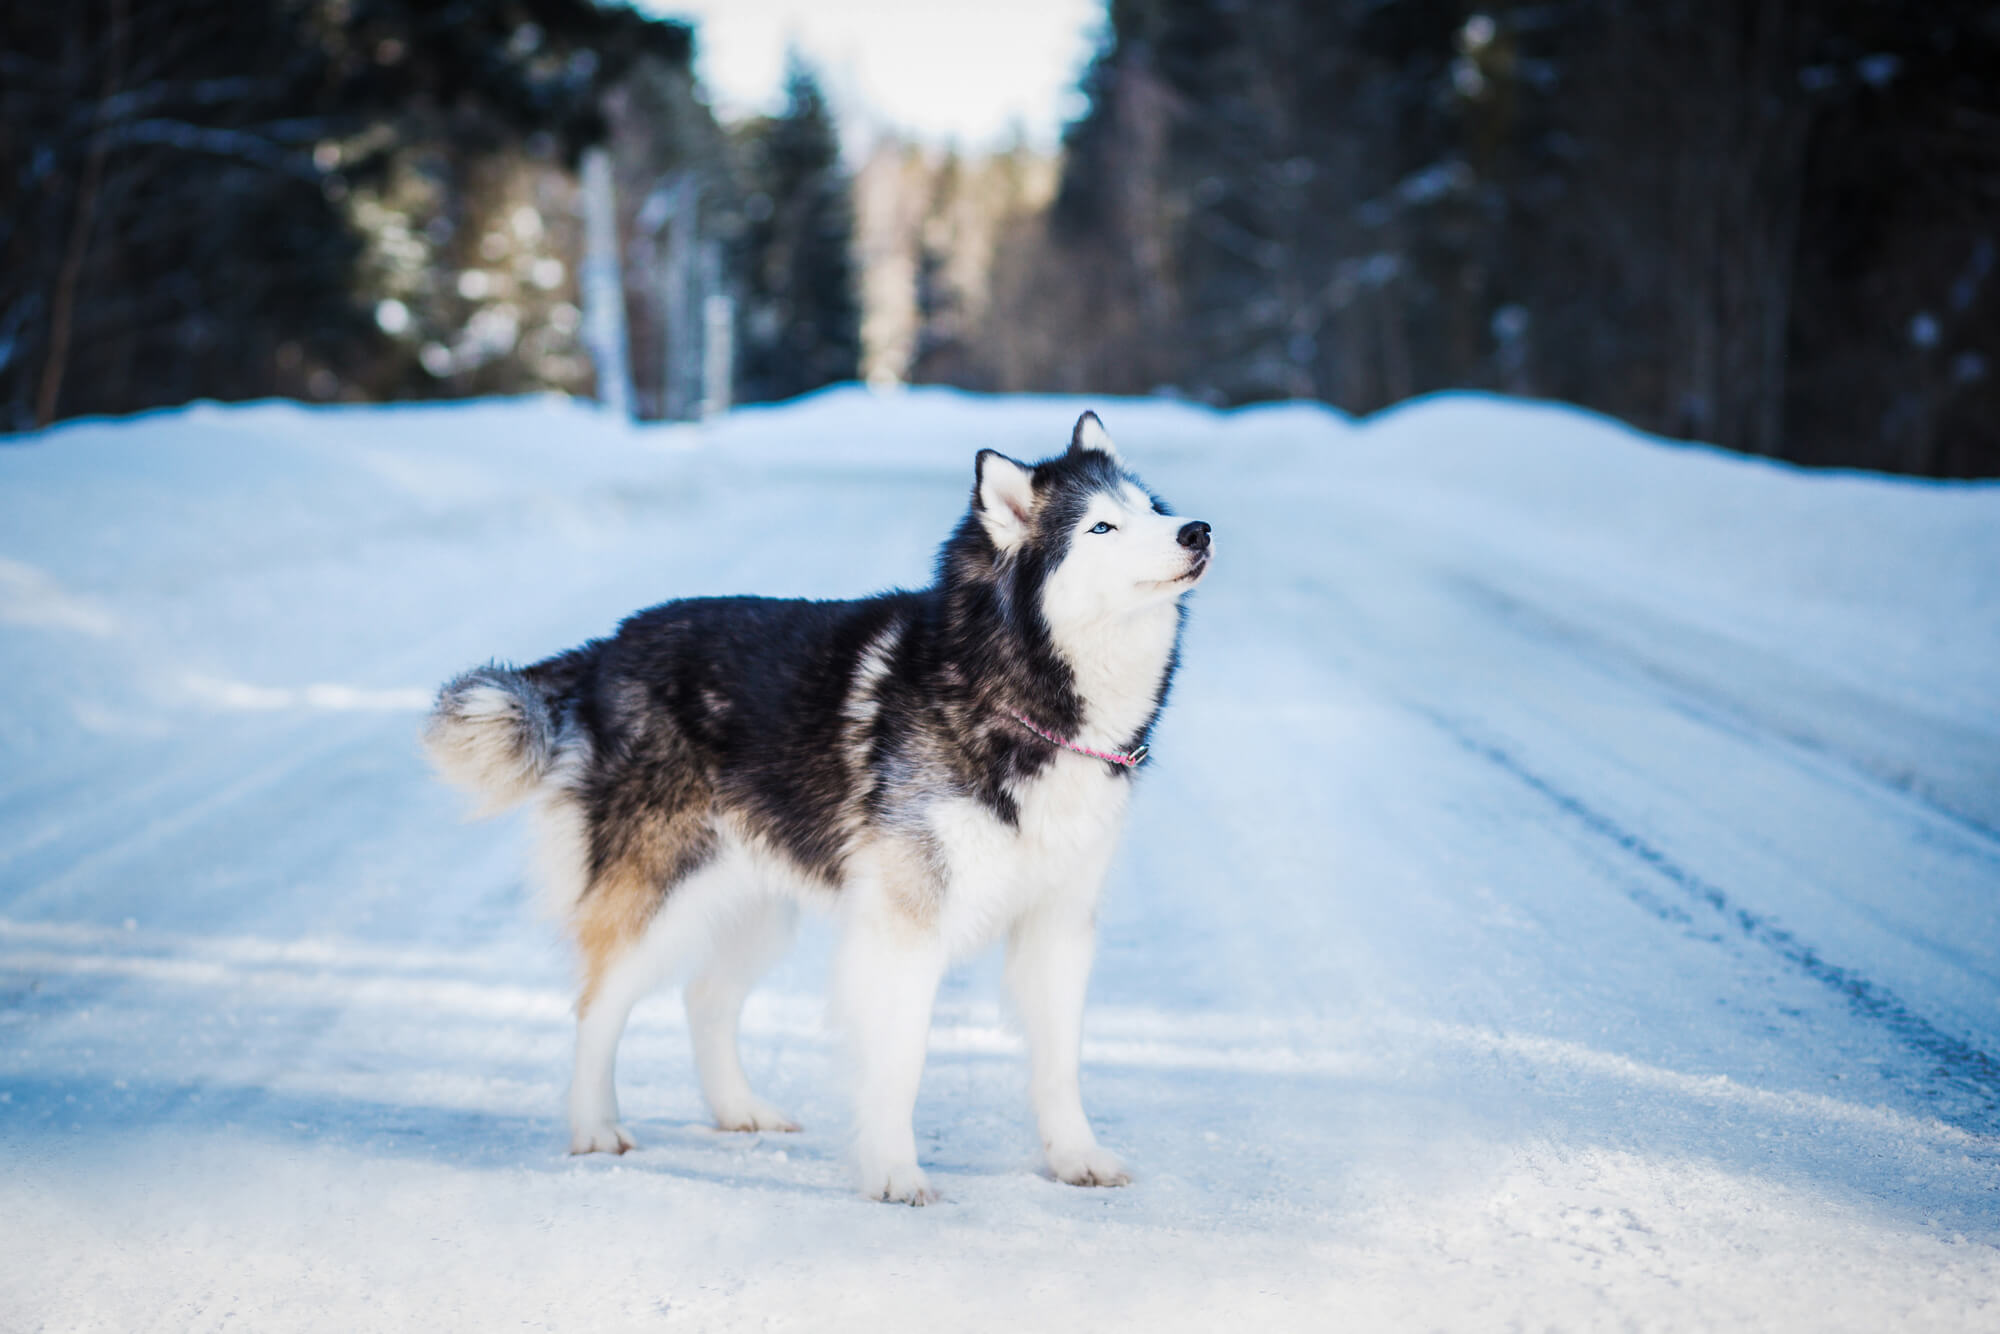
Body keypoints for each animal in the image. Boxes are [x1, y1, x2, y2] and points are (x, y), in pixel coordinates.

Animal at [426, 412, 1200, 1208]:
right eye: (1102, 526)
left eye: (1152, 508)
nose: (1197, 531)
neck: (1011, 693)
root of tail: (610, 645)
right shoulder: (905, 930)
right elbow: (900, 1061)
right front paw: (894, 1172)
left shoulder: (1057, 925)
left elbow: (1060, 1064)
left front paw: (1076, 1158)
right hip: (659, 895)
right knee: (596, 1008)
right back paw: (594, 1129)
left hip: (755, 906)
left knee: (705, 997)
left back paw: (738, 1110)